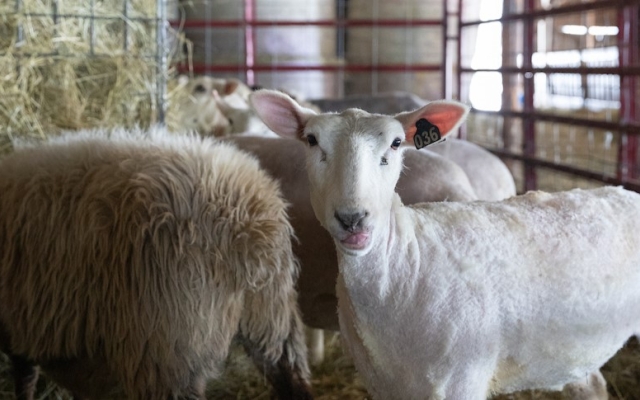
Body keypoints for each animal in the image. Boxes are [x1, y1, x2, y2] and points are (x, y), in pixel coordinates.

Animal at [249, 90, 640, 400]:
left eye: (396, 143)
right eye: (312, 141)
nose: (353, 218)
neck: (408, 265)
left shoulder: (461, 382)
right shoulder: (385, 386)